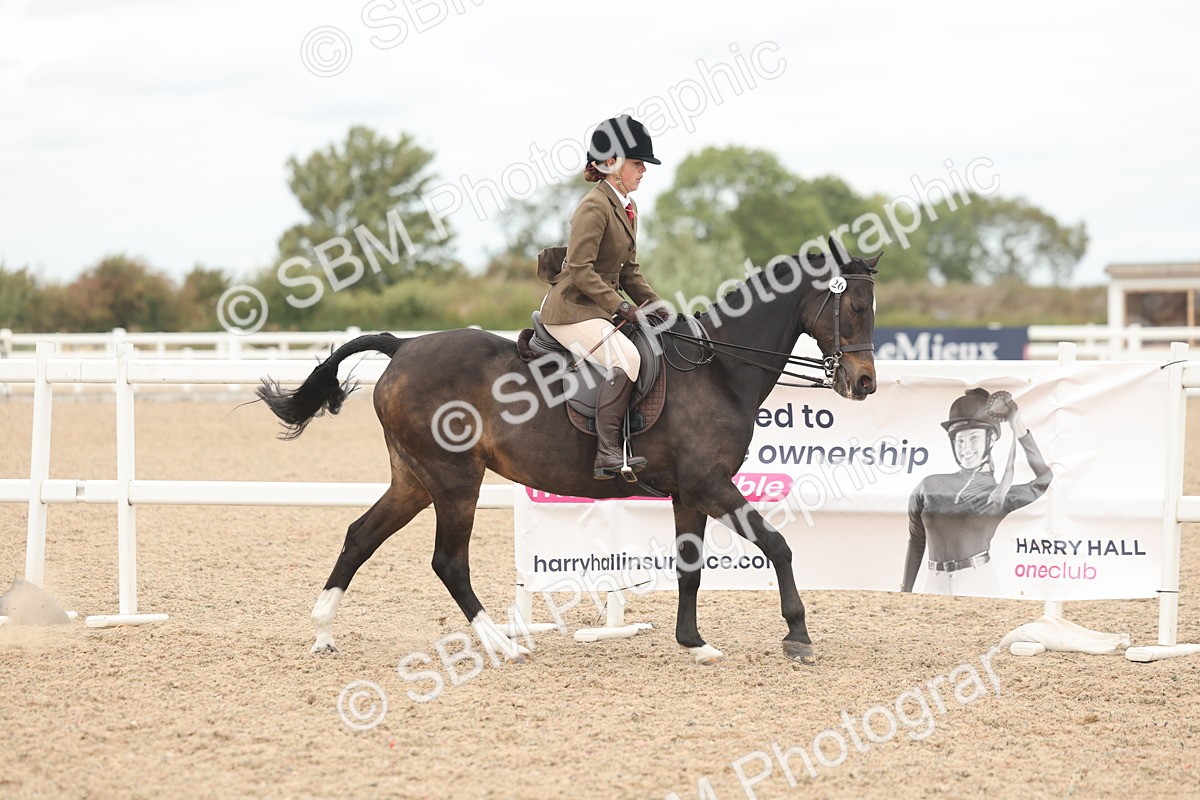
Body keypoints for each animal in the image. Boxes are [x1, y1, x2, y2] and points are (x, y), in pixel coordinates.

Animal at [257, 237, 880, 665]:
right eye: (854, 309)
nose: (864, 383)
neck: (720, 371)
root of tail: (402, 346)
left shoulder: (689, 492)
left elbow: (690, 568)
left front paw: (693, 642)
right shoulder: (710, 484)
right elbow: (778, 545)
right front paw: (798, 635)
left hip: (414, 479)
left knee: (360, 536)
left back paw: (323, 631)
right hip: (455, 479)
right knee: (448, 561)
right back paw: (502, 645)